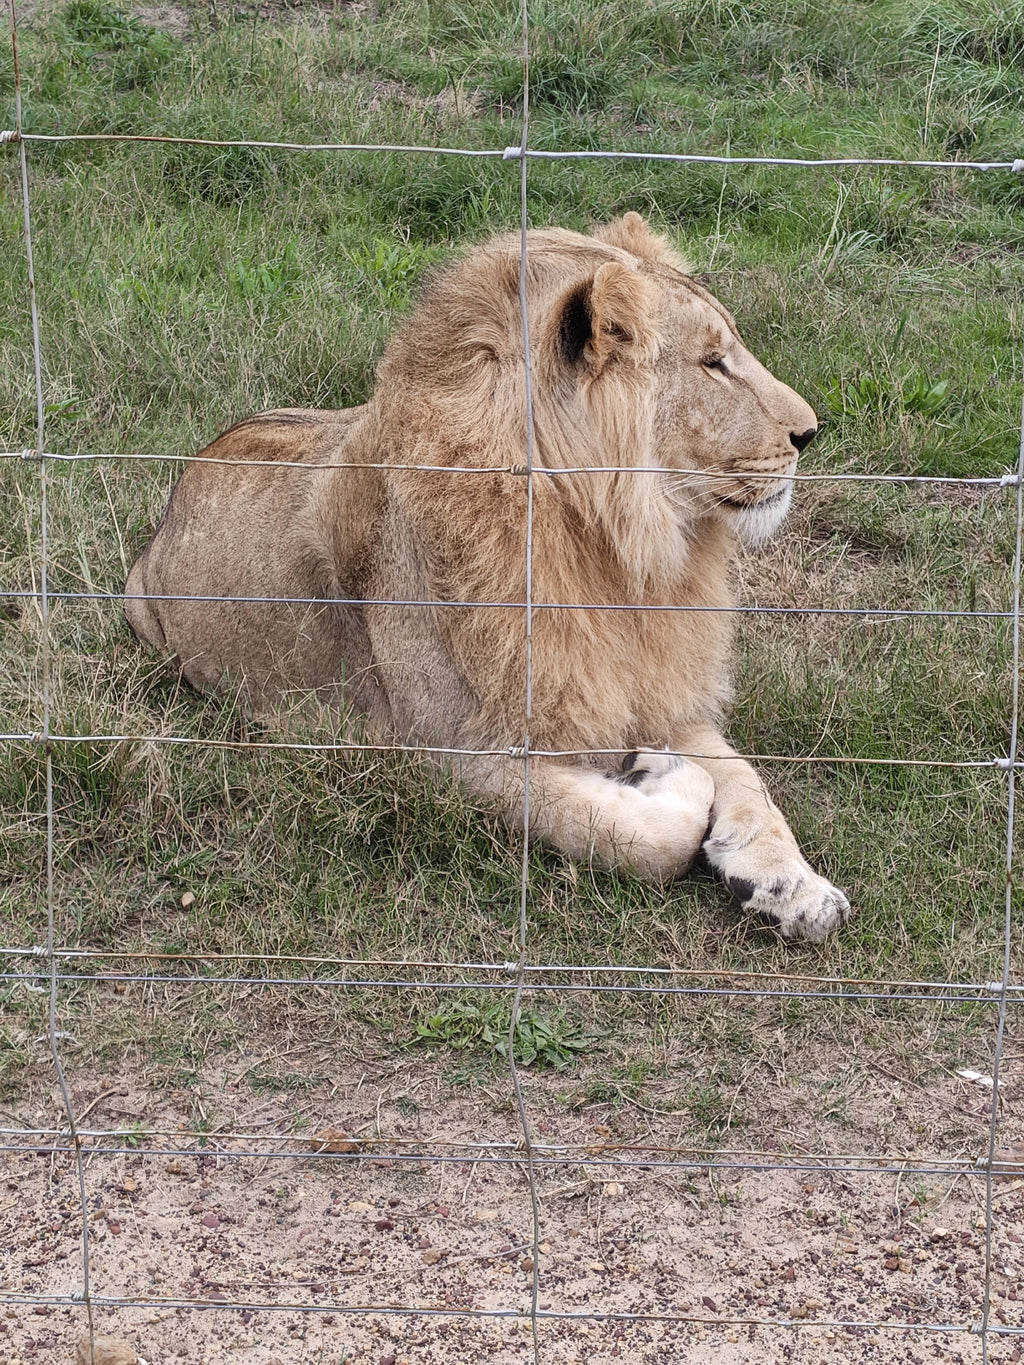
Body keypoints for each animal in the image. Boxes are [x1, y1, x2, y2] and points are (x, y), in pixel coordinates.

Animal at [125, 212, 849, 942]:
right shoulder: (451, 753)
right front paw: (663, 777)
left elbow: (747, 777)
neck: (615, 552)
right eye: (713, 363)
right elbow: (635, 836)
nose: (811, 433)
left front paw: (794, 885)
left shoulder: (652, 687)